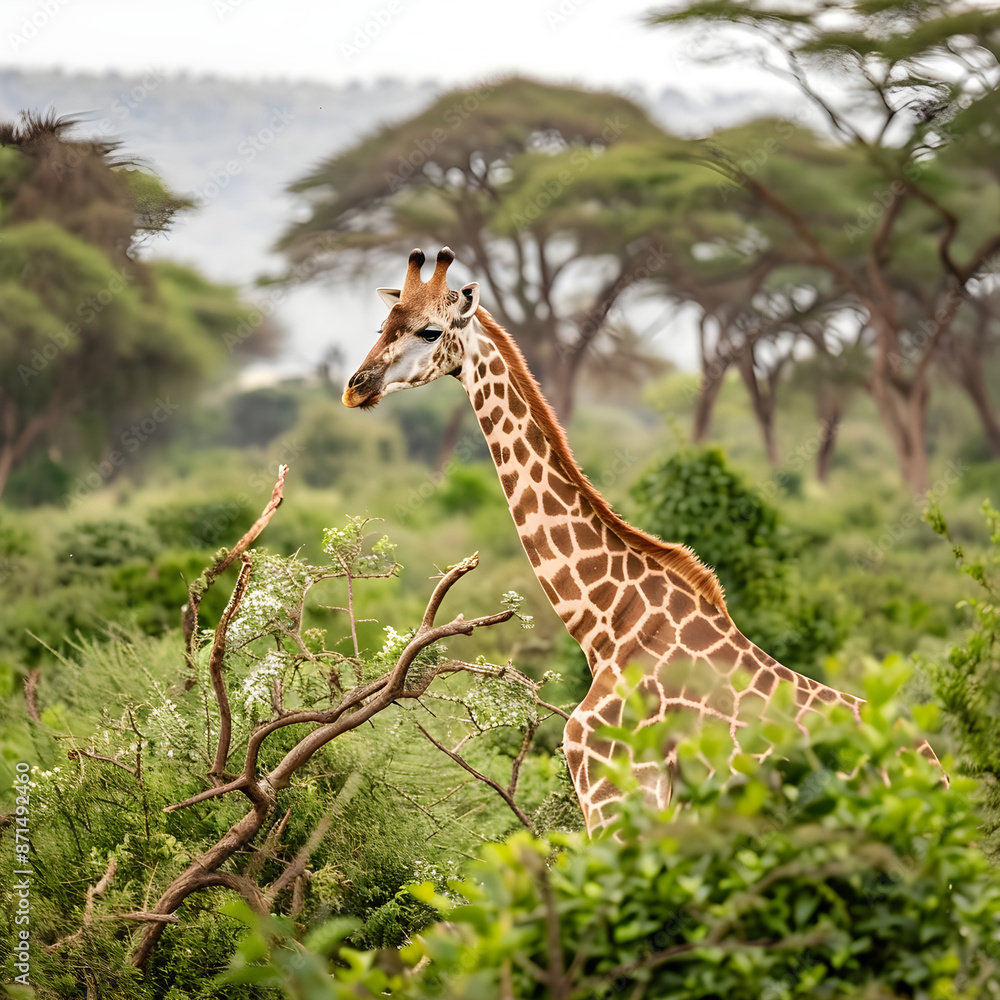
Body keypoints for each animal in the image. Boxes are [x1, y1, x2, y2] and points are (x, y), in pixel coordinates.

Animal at [343, 247, 936, 832]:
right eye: (384, 324)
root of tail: (939, 776)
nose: (356, 387)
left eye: (429, 331)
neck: (608, 623)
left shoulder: (614, 787)